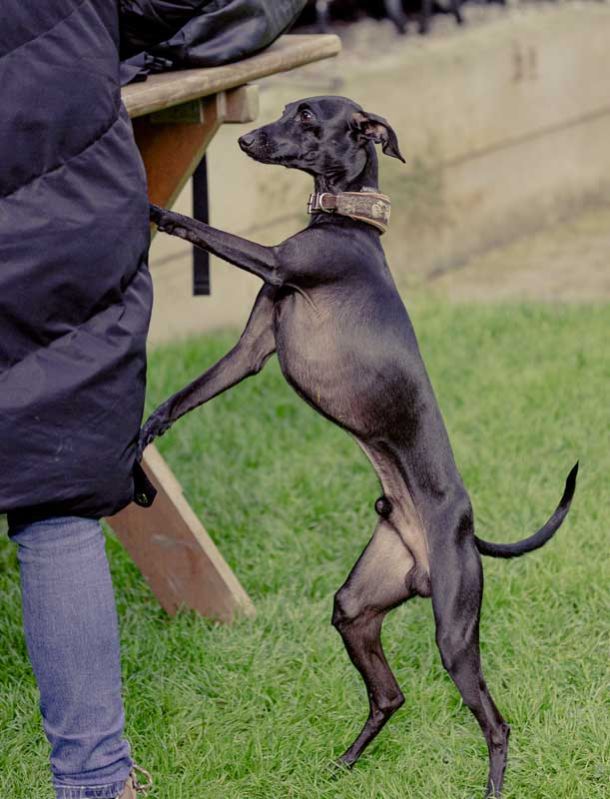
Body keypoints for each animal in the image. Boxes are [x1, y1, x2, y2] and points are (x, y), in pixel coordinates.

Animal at [141, 95, 577, 798]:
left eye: (307, 117)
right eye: (287, 111)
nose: (248, 141)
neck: (347, 222)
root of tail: (463, 529)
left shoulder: (277, 262)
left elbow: (198, 227)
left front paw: (152, 209)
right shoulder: (251, 351)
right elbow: (184, 396)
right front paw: (147, 429)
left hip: (455, 631)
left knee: (496, 723)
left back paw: (487, 784)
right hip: (360, 604)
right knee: (390, 694)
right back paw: (345, 763)